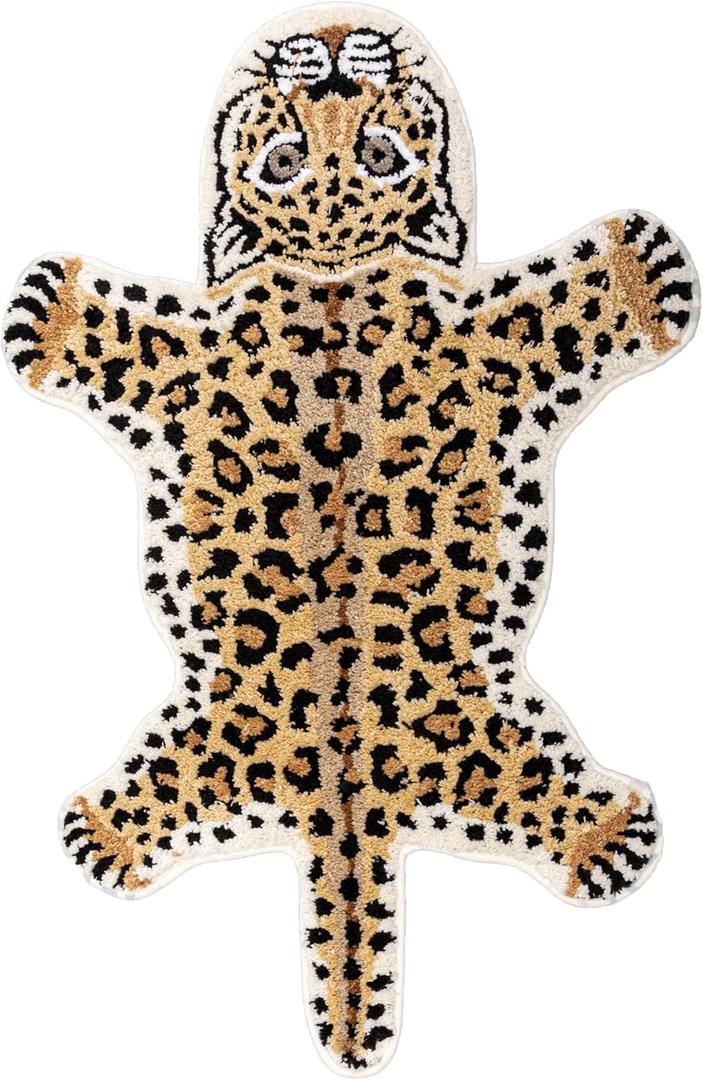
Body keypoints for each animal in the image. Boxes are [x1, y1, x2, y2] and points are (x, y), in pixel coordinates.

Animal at [3, 5, 699, 1074]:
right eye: (282, 155)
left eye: (381, 149)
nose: (331, 44)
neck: (334, 277)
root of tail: (344, 813)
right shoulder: (191, 350)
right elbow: (130, 333)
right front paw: (48, 308)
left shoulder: (490, 332)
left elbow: (556, 301)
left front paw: (642, 266)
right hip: (219, 737)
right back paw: (107, 833)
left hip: (489, 736)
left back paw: (606, 833)